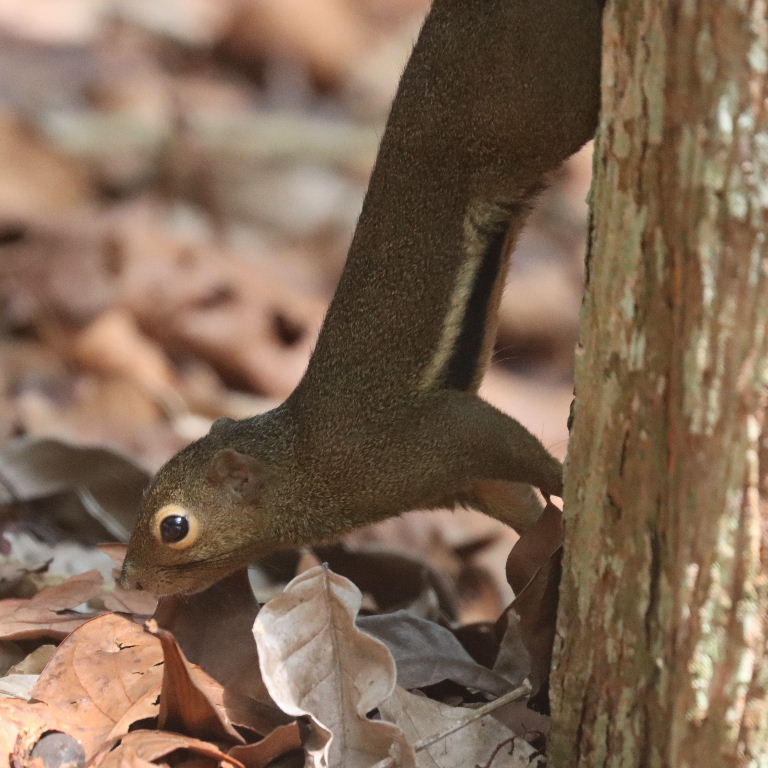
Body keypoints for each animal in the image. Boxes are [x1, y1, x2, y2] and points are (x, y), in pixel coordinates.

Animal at [120, 0, 603, 596]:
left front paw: (567, 484)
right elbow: (517, 502)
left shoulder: (421, 443)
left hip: (539, 100)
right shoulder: (461, 483)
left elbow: (505, 441)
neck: (304, 463)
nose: (126, 580)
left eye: (175, 527)